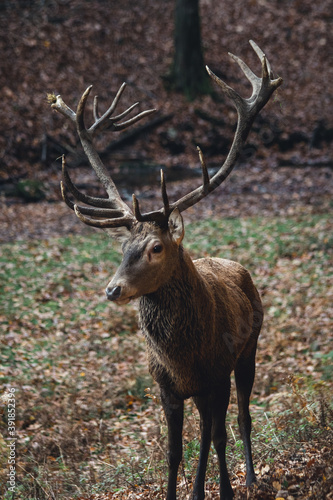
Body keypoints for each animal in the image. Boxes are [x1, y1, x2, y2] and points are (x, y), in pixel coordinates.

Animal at [49, 40, 282, 500]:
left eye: (157, 247)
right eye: (124, 247)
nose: (113, 290)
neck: (184, 360)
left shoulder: (216, 376)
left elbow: (219, 437)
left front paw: (222, 490)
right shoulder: (166, 389)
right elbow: (174, 452)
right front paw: (183, 491)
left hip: (250, 349)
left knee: (242, 418)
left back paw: (248, 478)